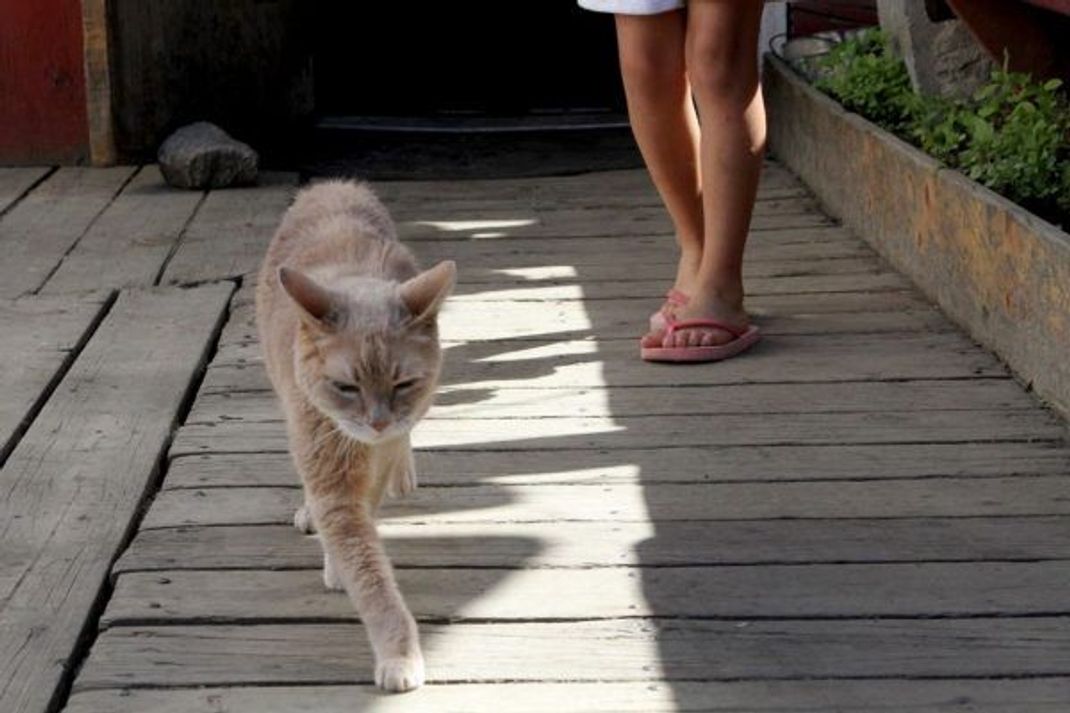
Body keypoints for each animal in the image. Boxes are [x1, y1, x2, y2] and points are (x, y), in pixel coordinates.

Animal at [255, 177, 455, 689]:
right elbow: (367, 572)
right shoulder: (331, 480)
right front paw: (398, 652)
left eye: (402, 384)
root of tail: (333, 185)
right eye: (346, 387)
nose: (379, 421)